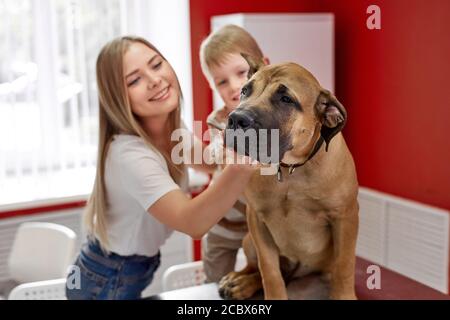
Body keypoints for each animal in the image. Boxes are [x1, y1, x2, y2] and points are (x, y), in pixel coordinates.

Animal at [218, 57, 358, 300]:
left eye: (286, 99)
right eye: (245, 91)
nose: (236, 118)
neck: (291, 168)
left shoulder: (346, 216)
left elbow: (345, 265)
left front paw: (343, 295)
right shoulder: (257, 219)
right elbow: (269, 271)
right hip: (248, 239)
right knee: (257, 268)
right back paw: (239, 282)